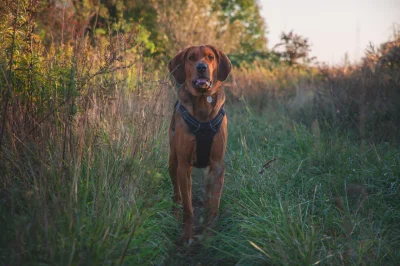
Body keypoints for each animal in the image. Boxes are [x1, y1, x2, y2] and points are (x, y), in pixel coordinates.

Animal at [168, 45, 231, 243]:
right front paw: (187, 235)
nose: (202, 67)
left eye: (210, 57)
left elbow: (214, 206)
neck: (203, 102)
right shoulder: (183, 166)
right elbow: (188, 208)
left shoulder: (217, 166)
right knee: (177, 194)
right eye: (191, 58)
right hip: (172, 162)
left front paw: (209, 235)